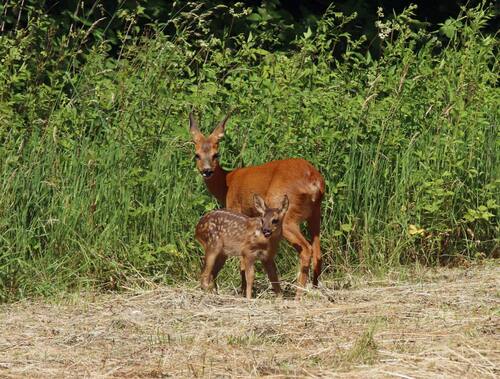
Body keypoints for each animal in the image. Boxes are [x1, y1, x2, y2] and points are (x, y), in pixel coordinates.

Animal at [189, 110, 326, 296]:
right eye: (197, 155)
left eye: (216, 154)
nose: (207, 171)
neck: (227, 182)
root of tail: (314, 181)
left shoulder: (236, 207)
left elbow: (242, 261)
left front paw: (242, 291)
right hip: (316, 214)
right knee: (318, 252)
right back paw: (314, 290)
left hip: (288, 216)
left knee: (306, 249)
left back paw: (299, 294)